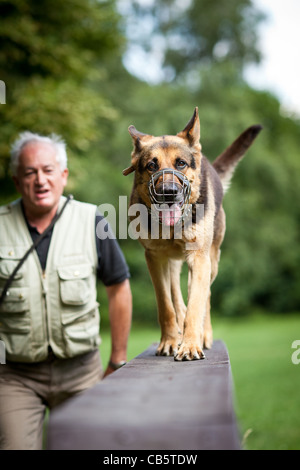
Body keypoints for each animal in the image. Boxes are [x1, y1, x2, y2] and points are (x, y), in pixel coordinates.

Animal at [123, 108, 262, 362]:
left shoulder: (199, 259)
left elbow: (197, 304)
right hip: (173, 264)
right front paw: (170, 341)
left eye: (181, 164)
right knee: (177, 296)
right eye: (151, 166)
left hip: (210, 262)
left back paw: (203, 335)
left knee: (204, 296)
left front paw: (189, 345)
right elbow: (166, 305)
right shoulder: (155, 258)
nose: (168, 193)